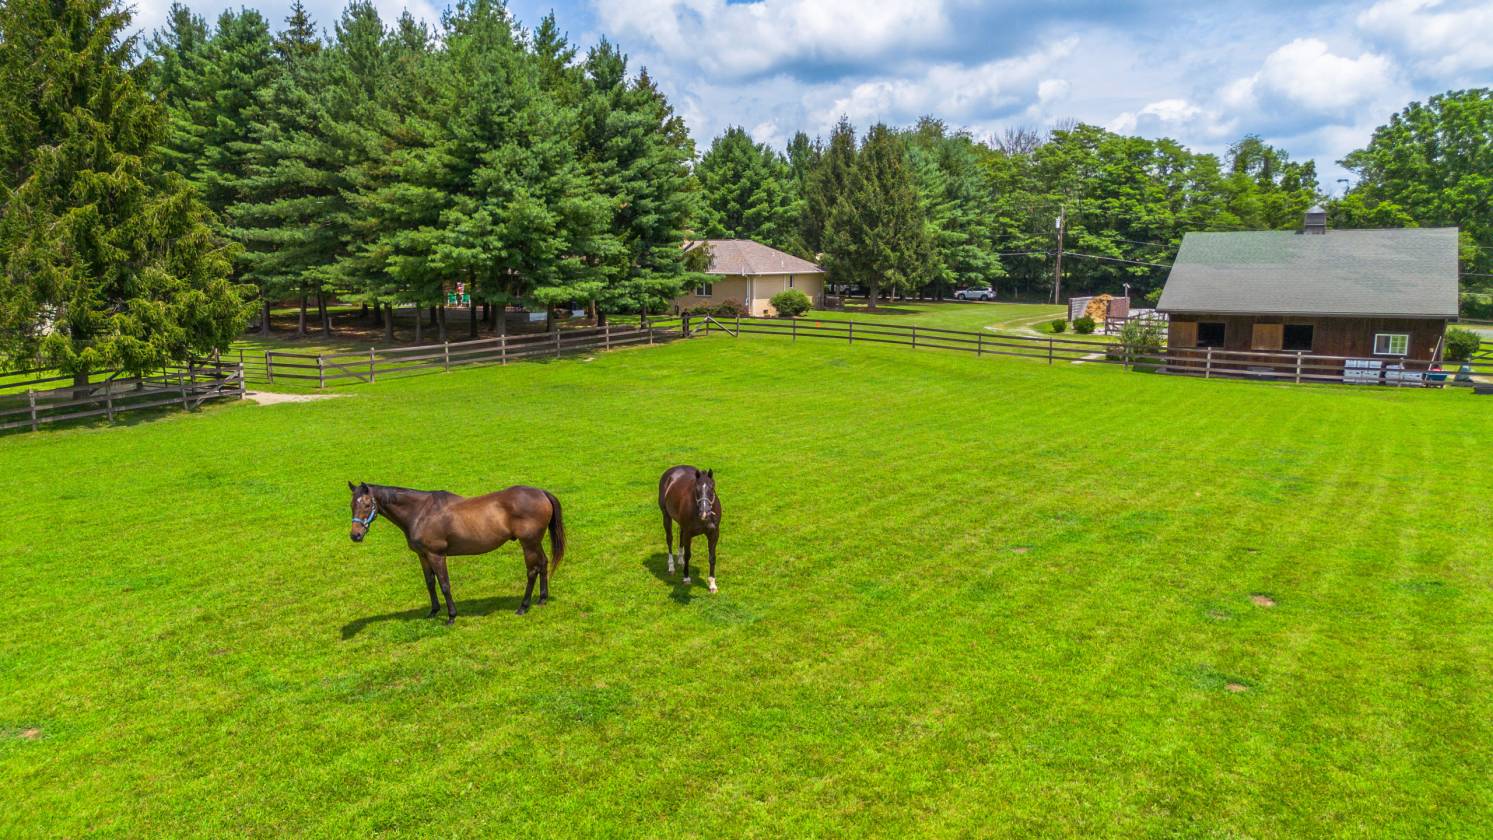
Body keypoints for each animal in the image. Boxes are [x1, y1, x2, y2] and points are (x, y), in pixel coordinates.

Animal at [347, 481, 564, 622]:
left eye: (367, 504)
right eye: (351, 505)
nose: (355, 535)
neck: (421, 512)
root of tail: (541, 493)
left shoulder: (436, 555)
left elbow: (444, 584)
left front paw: (451, 616)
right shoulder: (423, 556)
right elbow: (430, 583)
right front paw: (433, 612)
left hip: (528, 543)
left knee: (532, 570)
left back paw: (523, 607)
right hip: (535, 542)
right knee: (543, 563)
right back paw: (542, 599)